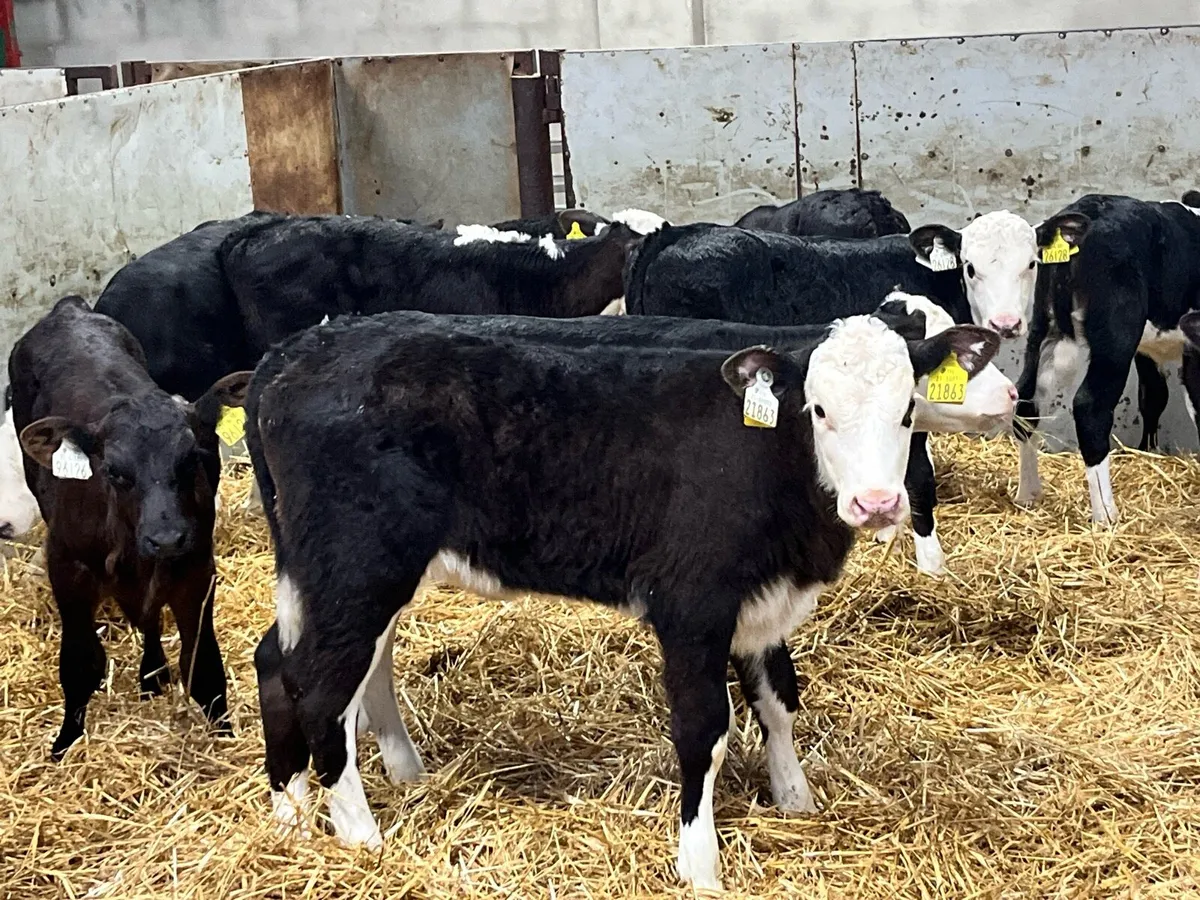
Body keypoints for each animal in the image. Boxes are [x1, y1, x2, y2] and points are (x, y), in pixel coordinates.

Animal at [8, 296, 250, 758]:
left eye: (192, 459)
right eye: (115, 472)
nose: (167, 538)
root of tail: (68, 309)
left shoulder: (196, 570)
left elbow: (203, 665)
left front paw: (225, 736)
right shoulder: (67, 569)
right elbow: (79, 664)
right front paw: (65, 744)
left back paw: (153, 676)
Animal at [245, 311, 1000, 889]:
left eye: (906, 410)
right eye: (818, 410)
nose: (877, 503)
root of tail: (298, 348)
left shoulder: (763, 602)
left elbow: (779, 701)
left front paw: (795, 800)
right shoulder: (693, 604)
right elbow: (705, 730)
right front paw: (700, 865)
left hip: (336, 576)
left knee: (283, 661)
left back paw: (296, 811)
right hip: (357, 568)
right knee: (321, 690)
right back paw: (360, 837)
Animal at [1013, 193, 1200, 524]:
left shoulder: (1146, 350)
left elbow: (1153, 397)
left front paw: (1147, 451)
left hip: (1043, 328)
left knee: (1026, 399)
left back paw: (1028, 494)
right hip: (1116, 338)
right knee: (1091, 408)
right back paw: (1106, 515)